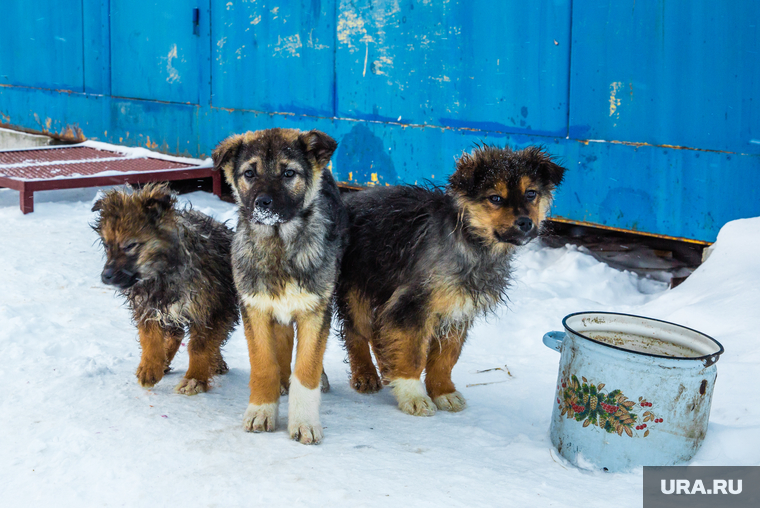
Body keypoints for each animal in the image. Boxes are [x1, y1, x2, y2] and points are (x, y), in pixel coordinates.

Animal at [93, 185, 239, 394]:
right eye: (106, 245)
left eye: (130, 245)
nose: (106, 277)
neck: (163, 273)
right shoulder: (148, 305)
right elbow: (150, 337)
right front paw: (150, 367)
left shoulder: (215, 308)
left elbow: (201, 346)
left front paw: (195, 378)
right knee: (176, 334)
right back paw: (164, 361)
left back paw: (214, 362)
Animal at [212, 128, 346, 444]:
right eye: (249, 173)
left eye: (288, 173)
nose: (263, 203)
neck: (279, 244)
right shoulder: (255, 308)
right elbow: (264, 363)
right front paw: (262, 410)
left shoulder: (315, 310)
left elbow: (307, 368)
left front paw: (305, 421)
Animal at [336, 145, 564, 414]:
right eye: (495, 198)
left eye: (531, 194)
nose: (526, 223)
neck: (471, 241)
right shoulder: (413, 305)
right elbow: (413, 354)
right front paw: (413, 394)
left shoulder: (457, 310)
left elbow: (445, 358)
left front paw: (443, 392)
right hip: (356, 289)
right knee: (357, 332)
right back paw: (366, 374)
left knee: (379, 332)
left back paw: (387, 370)